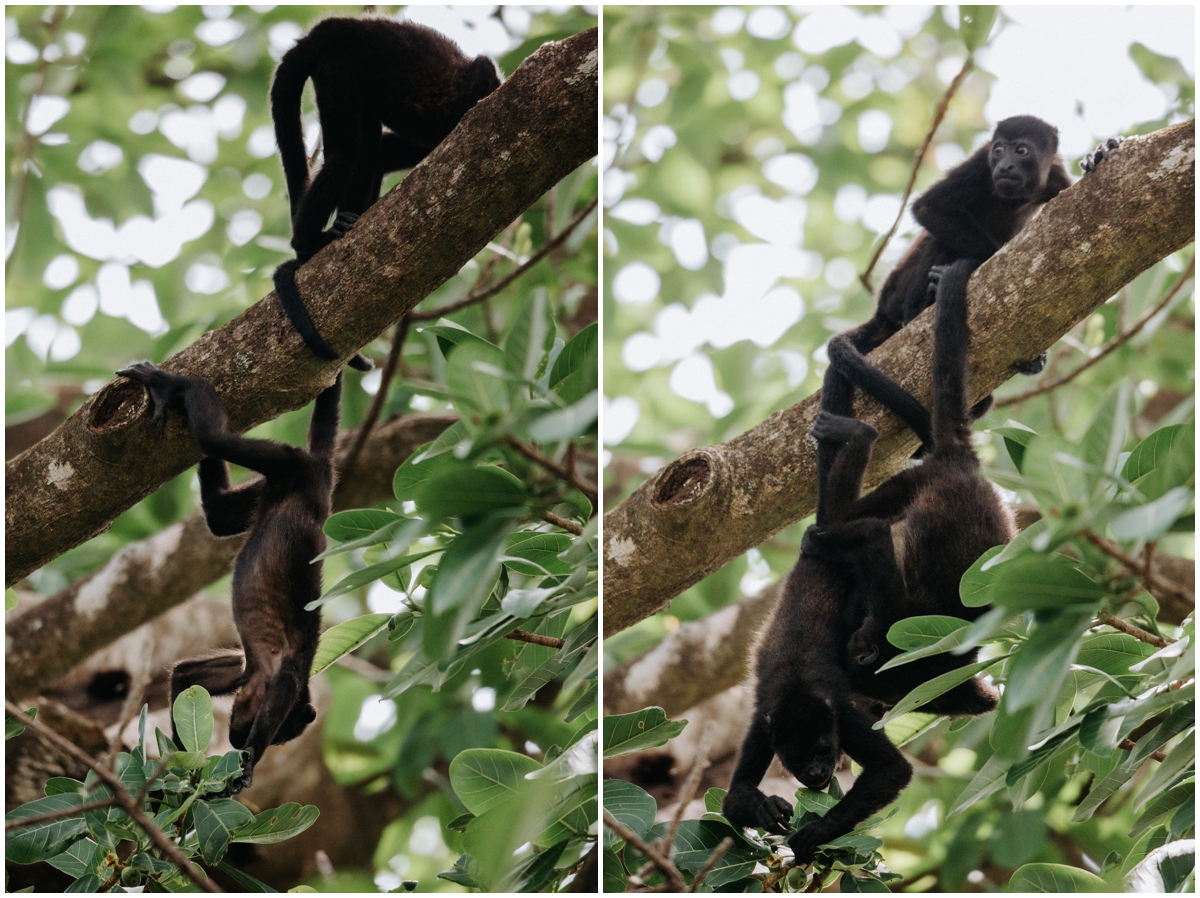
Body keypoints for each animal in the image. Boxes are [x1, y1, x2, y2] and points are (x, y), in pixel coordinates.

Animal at [115, 360, 343, 787]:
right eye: (282, 734)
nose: (240, 740)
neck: (256, 678)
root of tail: (321, 486)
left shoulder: (240, 669)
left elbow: (184, 678)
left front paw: (183, 774)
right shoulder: (281, 672)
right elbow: (286, 684)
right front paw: (248, 766)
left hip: (273, 484)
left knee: (220, 513)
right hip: (291, 465)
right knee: (218, 439)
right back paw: (175, 383)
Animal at [270, 18, 499, 374]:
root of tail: (328, 29)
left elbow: (387, 152)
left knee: (370, 148)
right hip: (338, 70)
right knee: (346, 154)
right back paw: (309, 241)